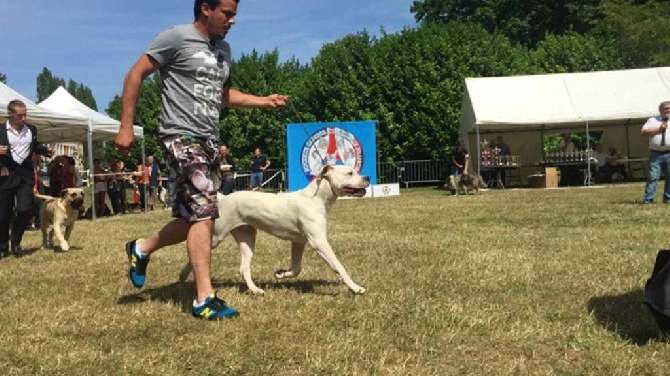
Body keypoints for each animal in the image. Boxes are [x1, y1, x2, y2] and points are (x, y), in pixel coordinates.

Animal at [178, 166, 372, 296]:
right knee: (196, 251)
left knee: (244, 268)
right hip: (217, 236)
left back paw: (255, 290)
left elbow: (297, 268)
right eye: (350, 173)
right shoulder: (318, 242)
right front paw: (356, 288)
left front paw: (280, 274)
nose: (368, 177)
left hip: (247, 238)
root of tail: (224, 198)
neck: (315, 198)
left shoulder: (298, 242)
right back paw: (183, 276)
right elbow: (339, 267)